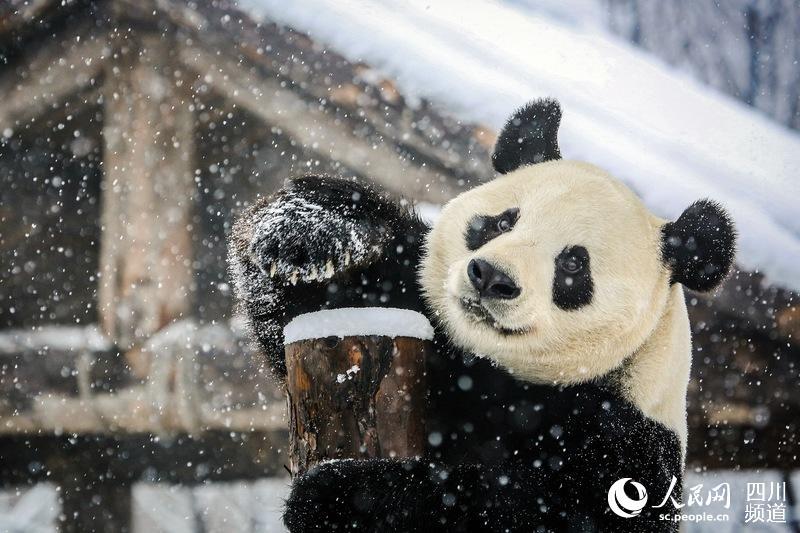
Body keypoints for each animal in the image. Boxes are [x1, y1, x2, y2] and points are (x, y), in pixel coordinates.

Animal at [227, 97, 736, 528]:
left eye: (573, 263)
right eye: (503, 221)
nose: (491, 277)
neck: (500, 370)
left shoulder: (629, 440)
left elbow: (543, 509)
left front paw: (346, 496)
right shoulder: (424, 319)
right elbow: (317, 300)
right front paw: (307, 234)